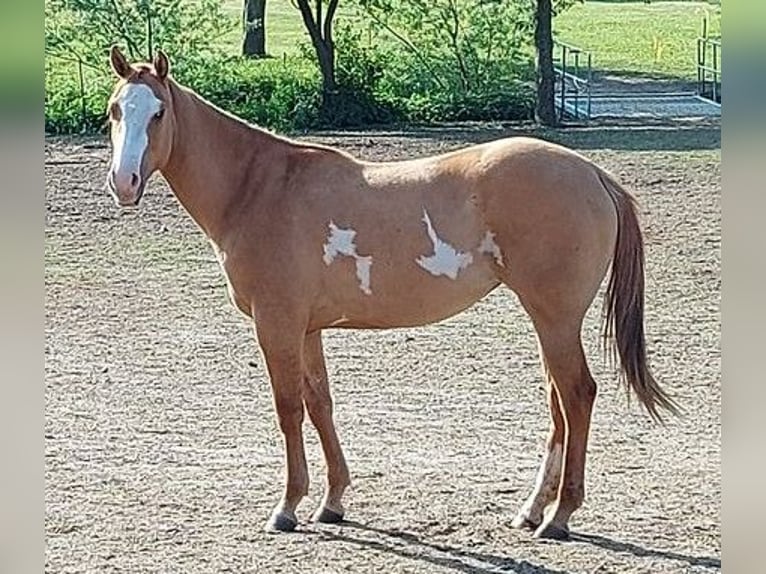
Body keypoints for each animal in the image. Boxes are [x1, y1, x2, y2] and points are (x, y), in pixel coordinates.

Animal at [104, 46, 677, 540]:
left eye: (157, 114)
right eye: (114, 111)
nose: (123, 182)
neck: (259, 188)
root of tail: (593, 173)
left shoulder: (277, 323)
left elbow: (288, 409)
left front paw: (287, 506)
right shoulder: (308, 328)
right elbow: (320, 404)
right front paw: (332, 501)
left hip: (555, 318)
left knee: (577, 396)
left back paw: (559, 516)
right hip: (548, 320)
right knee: (559, 402)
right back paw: (532, 508)